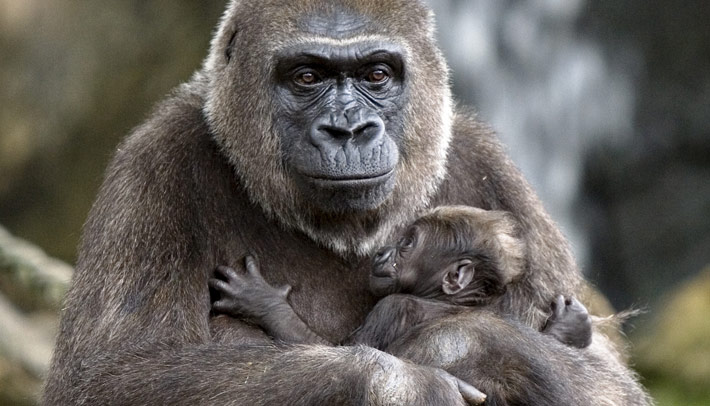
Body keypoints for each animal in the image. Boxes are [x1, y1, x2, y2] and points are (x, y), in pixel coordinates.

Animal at [210, 205, 593, 352]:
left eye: (407, 243)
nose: (382, 253)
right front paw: (568, 329)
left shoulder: (393, 308)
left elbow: (345, 350)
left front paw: (263, 303)